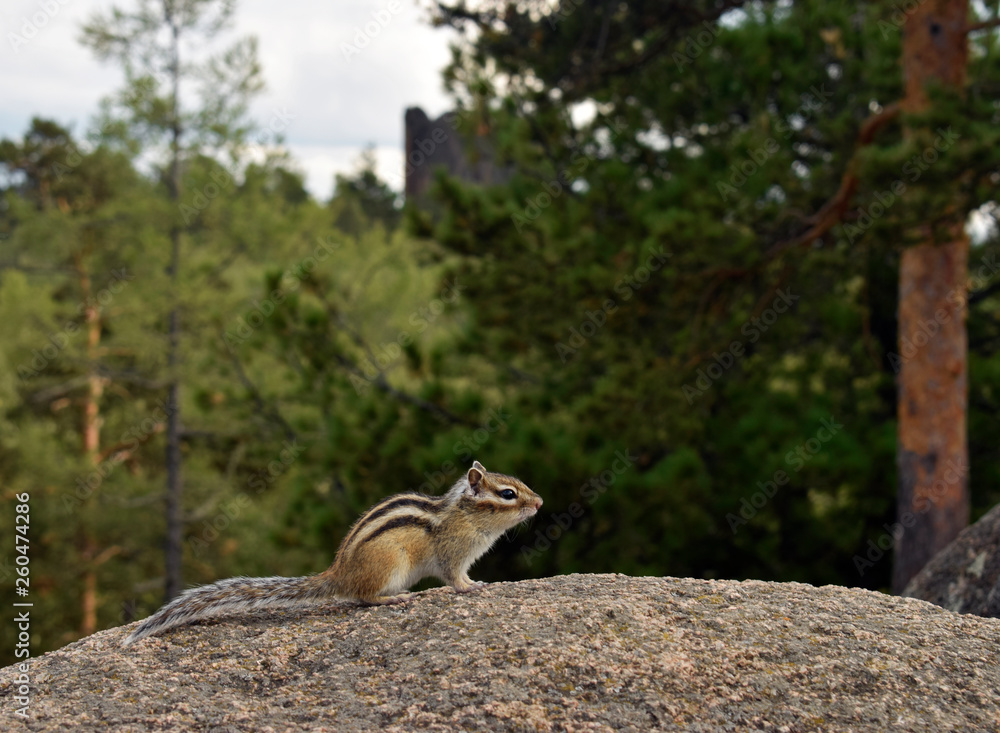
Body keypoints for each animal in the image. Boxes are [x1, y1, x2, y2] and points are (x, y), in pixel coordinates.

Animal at [121, 461, 541, 646]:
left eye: (519, 484)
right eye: (508, 494)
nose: (539, 503)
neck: (465, 515)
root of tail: (338, 572)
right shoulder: (453, 554)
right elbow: (454, 577)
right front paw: (471, 587)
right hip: (390, 565)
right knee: (362, 597)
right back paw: (392, 599)